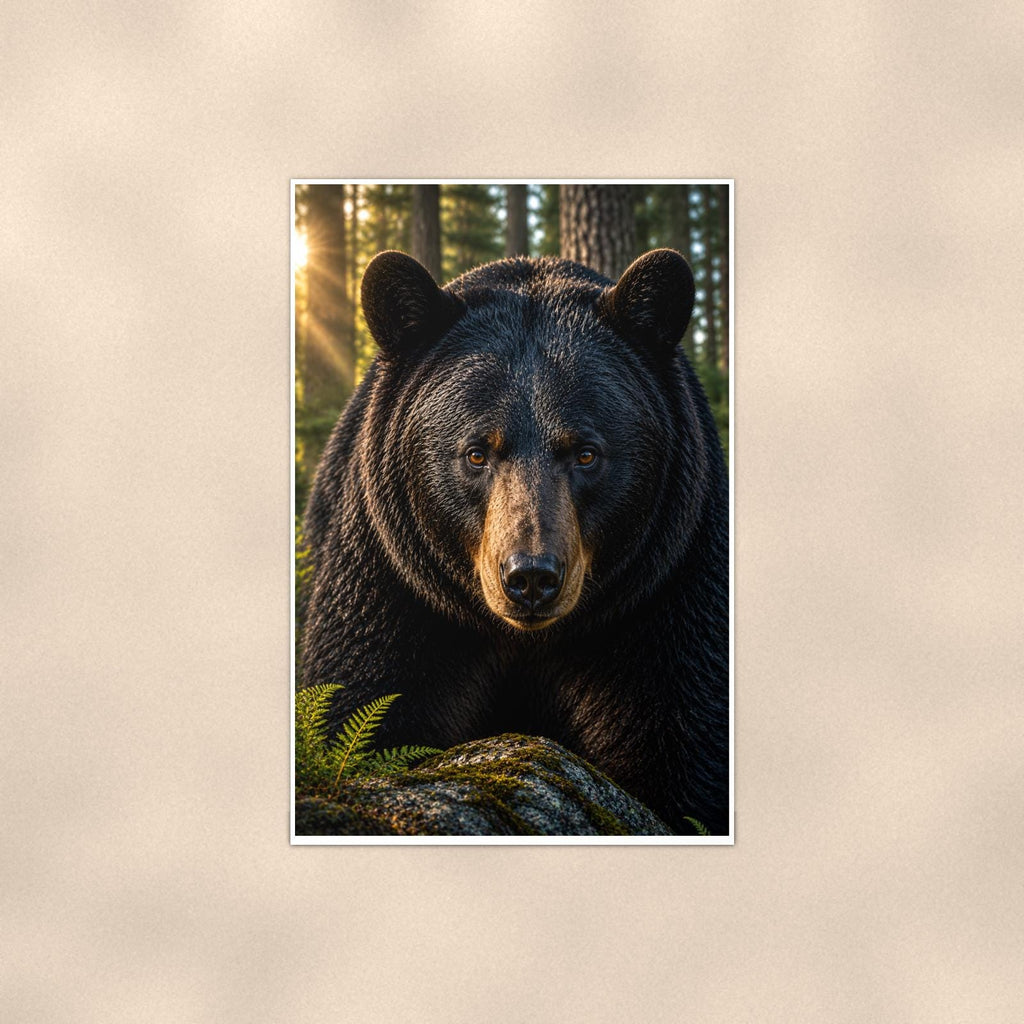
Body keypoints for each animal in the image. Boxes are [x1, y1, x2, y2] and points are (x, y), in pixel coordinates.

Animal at [300, 248, 730, 835]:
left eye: (586, 452)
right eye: (477, 452)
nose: (530, 577)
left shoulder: (665, 590)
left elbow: (685, 741)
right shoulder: (395, 584)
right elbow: (365, 691)